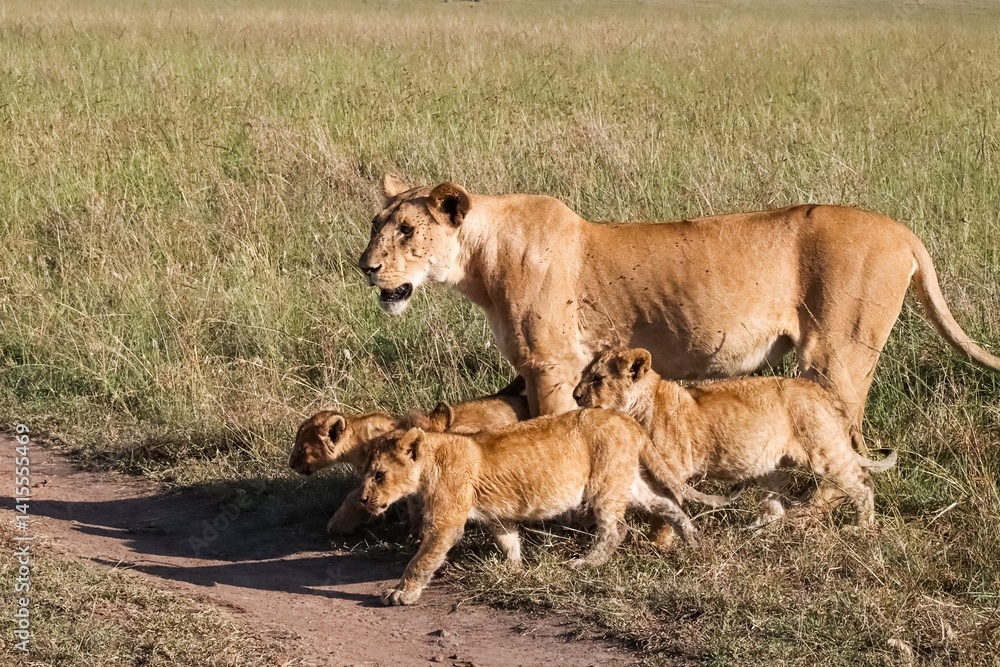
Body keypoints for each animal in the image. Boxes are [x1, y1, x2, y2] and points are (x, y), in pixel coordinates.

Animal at [359, 175, 999, 429]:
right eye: (374, 226)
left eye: (408, 232)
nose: (366, 267)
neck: (481, 260)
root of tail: (903, 231)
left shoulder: (553, 364)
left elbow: (557, 431)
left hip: (837, 354)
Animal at [360, 409, 718, 606]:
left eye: (379, 475)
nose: (363, 499)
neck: (434, 456)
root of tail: (627, 419)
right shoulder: (496, 515)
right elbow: (508, 540)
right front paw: (514, 569)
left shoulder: (446, 521)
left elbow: (421, 561)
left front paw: (401, 594)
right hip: (626, 480)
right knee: (668, 505)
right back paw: (693, 541)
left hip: (604, 482)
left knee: (617, 528)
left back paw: (585, 563)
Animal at [573, 347, 898, 527]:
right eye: (584, 375)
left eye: (598, 379)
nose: (575, 396)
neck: (640, 404)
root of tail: (819, 391)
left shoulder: (674, 467)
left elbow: (668, 505)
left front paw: (661, 540)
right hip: (772, 465)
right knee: (775, 506)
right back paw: (754, 530)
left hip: (823, 450)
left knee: (861, 483)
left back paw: (862, 528)